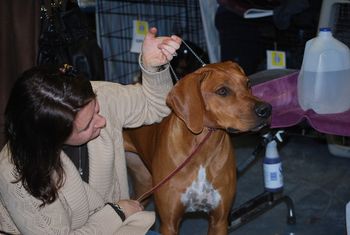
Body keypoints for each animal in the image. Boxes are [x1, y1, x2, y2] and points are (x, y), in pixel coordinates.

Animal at [123, 61, 270, 235]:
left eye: (248, 84)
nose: (266, 109)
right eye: (222, 91)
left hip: (144, 185)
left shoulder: (219, 221)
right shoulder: (169, 224)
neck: (202, 150)